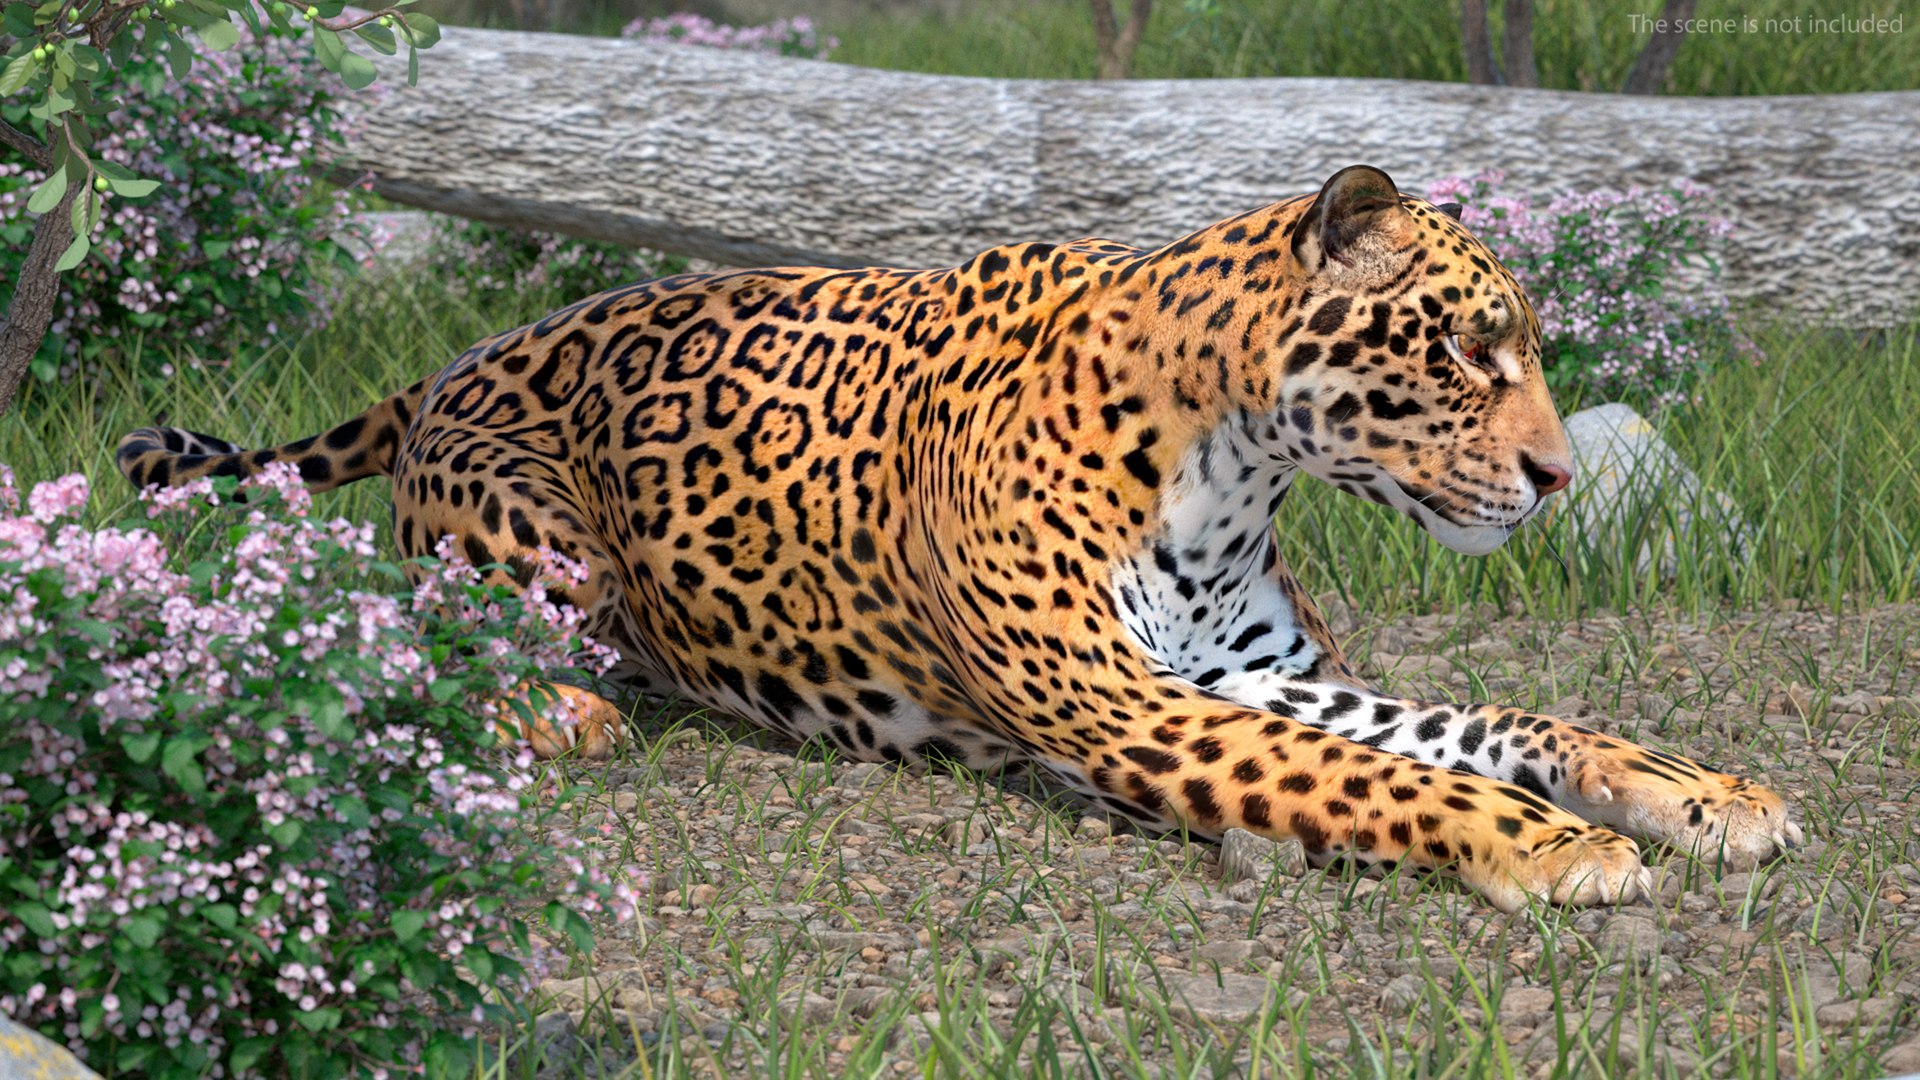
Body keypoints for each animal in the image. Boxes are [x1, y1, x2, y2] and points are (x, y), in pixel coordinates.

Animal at [119, 165, 1800, 911]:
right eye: (1461, 347)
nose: (1557, 479)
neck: (1231, 465)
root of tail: (464, 355)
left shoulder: (1243, 674)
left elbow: (1491, 721)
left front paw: (1693, 791)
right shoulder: (1133, 712)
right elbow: (1390, 780)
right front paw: (1556, 846)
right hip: (534, 548)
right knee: (405, 631)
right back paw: (565, 711)